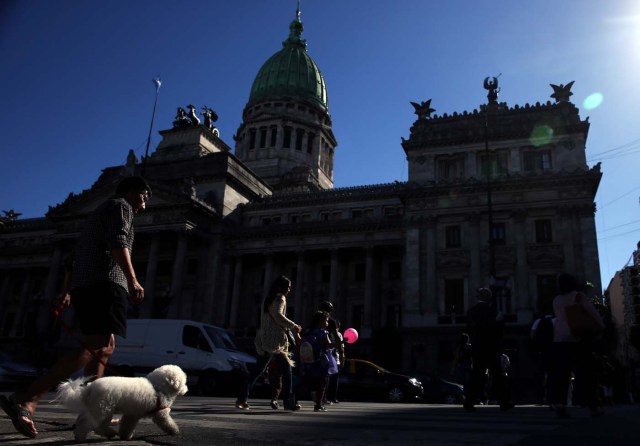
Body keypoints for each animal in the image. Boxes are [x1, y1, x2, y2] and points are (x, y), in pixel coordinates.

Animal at [56, 364, 188, 440]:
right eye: (184, 381)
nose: (186, 389)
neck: (157, 386)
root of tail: (89, 388)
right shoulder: (160, 412)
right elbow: (167, 422)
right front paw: (174, 431)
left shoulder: (132, 414)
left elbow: (127, 425)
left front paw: (125, 436)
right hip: (102, 408)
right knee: (89, 424)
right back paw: (80, 436)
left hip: (99, 409)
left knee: (95, 425)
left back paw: (109, 433)